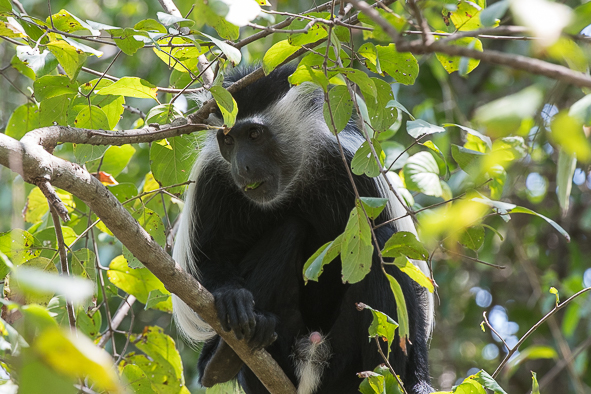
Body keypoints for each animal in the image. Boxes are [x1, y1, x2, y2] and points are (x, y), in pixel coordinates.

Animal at [171, 66, 434, 392]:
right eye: (228, 140)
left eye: (254, 135)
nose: (241, 167)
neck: (292, 183)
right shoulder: (211, 180)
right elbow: (208, 258)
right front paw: (233, 297)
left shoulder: (355, 171)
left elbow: (410, 276)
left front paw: (419, 383)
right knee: (291, 228)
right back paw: (226, 356)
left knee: (380, 249)